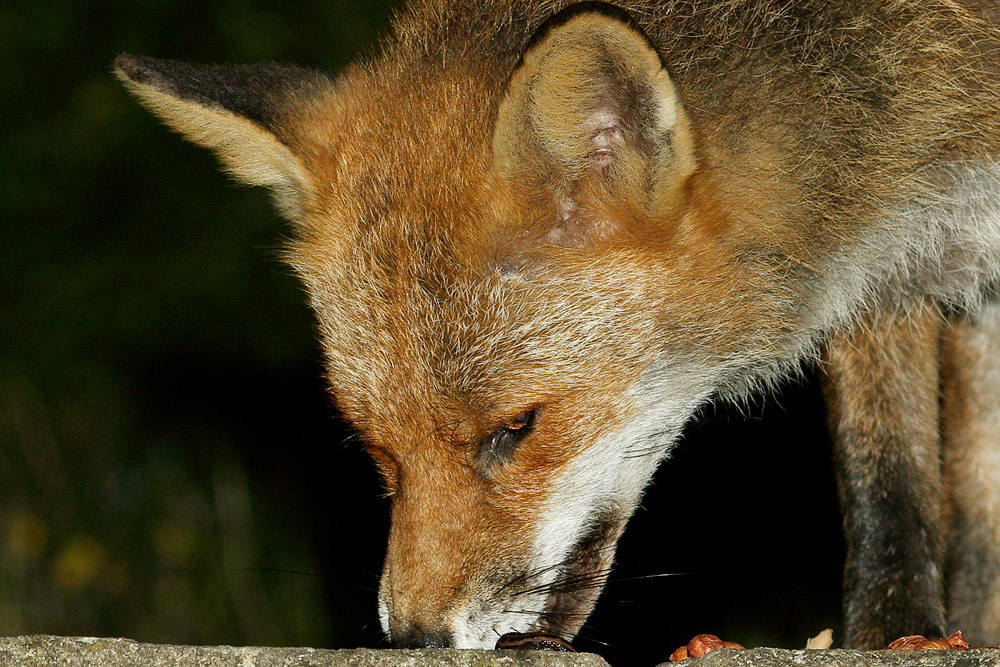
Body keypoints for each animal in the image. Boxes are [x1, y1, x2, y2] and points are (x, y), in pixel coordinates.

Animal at [115, 0, 1000, 652]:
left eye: (517, 427)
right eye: (377, 449)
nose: (418, 640)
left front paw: (918, 634)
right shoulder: (888, 265)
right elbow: (886, 471)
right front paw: (898, 631)